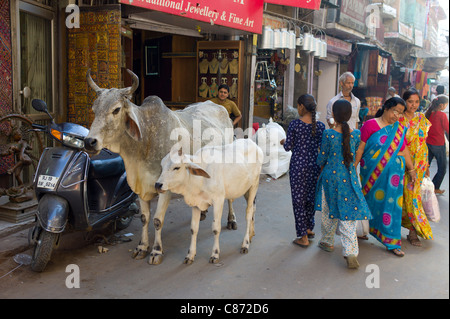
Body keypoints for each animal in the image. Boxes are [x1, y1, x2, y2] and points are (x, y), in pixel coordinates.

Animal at [82, 70, 234, 264]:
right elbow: (144, 218)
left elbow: (157, 220)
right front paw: (142, 247)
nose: (89, 142)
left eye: (116, 110)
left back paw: (231, 220)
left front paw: (156, 251)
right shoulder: (141, 187)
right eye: (94, 109)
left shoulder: (164, 188)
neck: (144, 144)